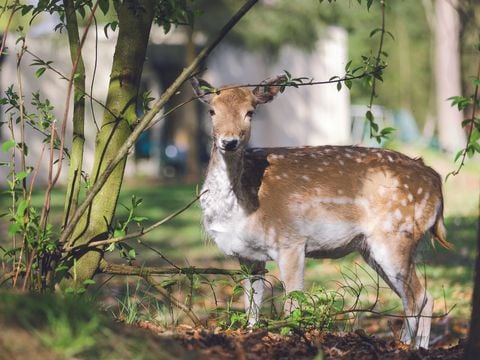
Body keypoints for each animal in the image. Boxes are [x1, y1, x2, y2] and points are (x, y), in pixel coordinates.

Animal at [190, 75, 450, 348]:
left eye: (250, 112)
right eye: (212, 111)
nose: (229, 142)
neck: (244, 205)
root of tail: (435, 179)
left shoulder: (291, 240)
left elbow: (293, 301)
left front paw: (290, 338)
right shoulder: (247, 253)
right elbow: (252, 303)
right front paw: (251, 333)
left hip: (396, 235)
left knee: (418, 296)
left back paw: (407, 347)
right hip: (371, 247)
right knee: (422, 296)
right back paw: (413, 345)